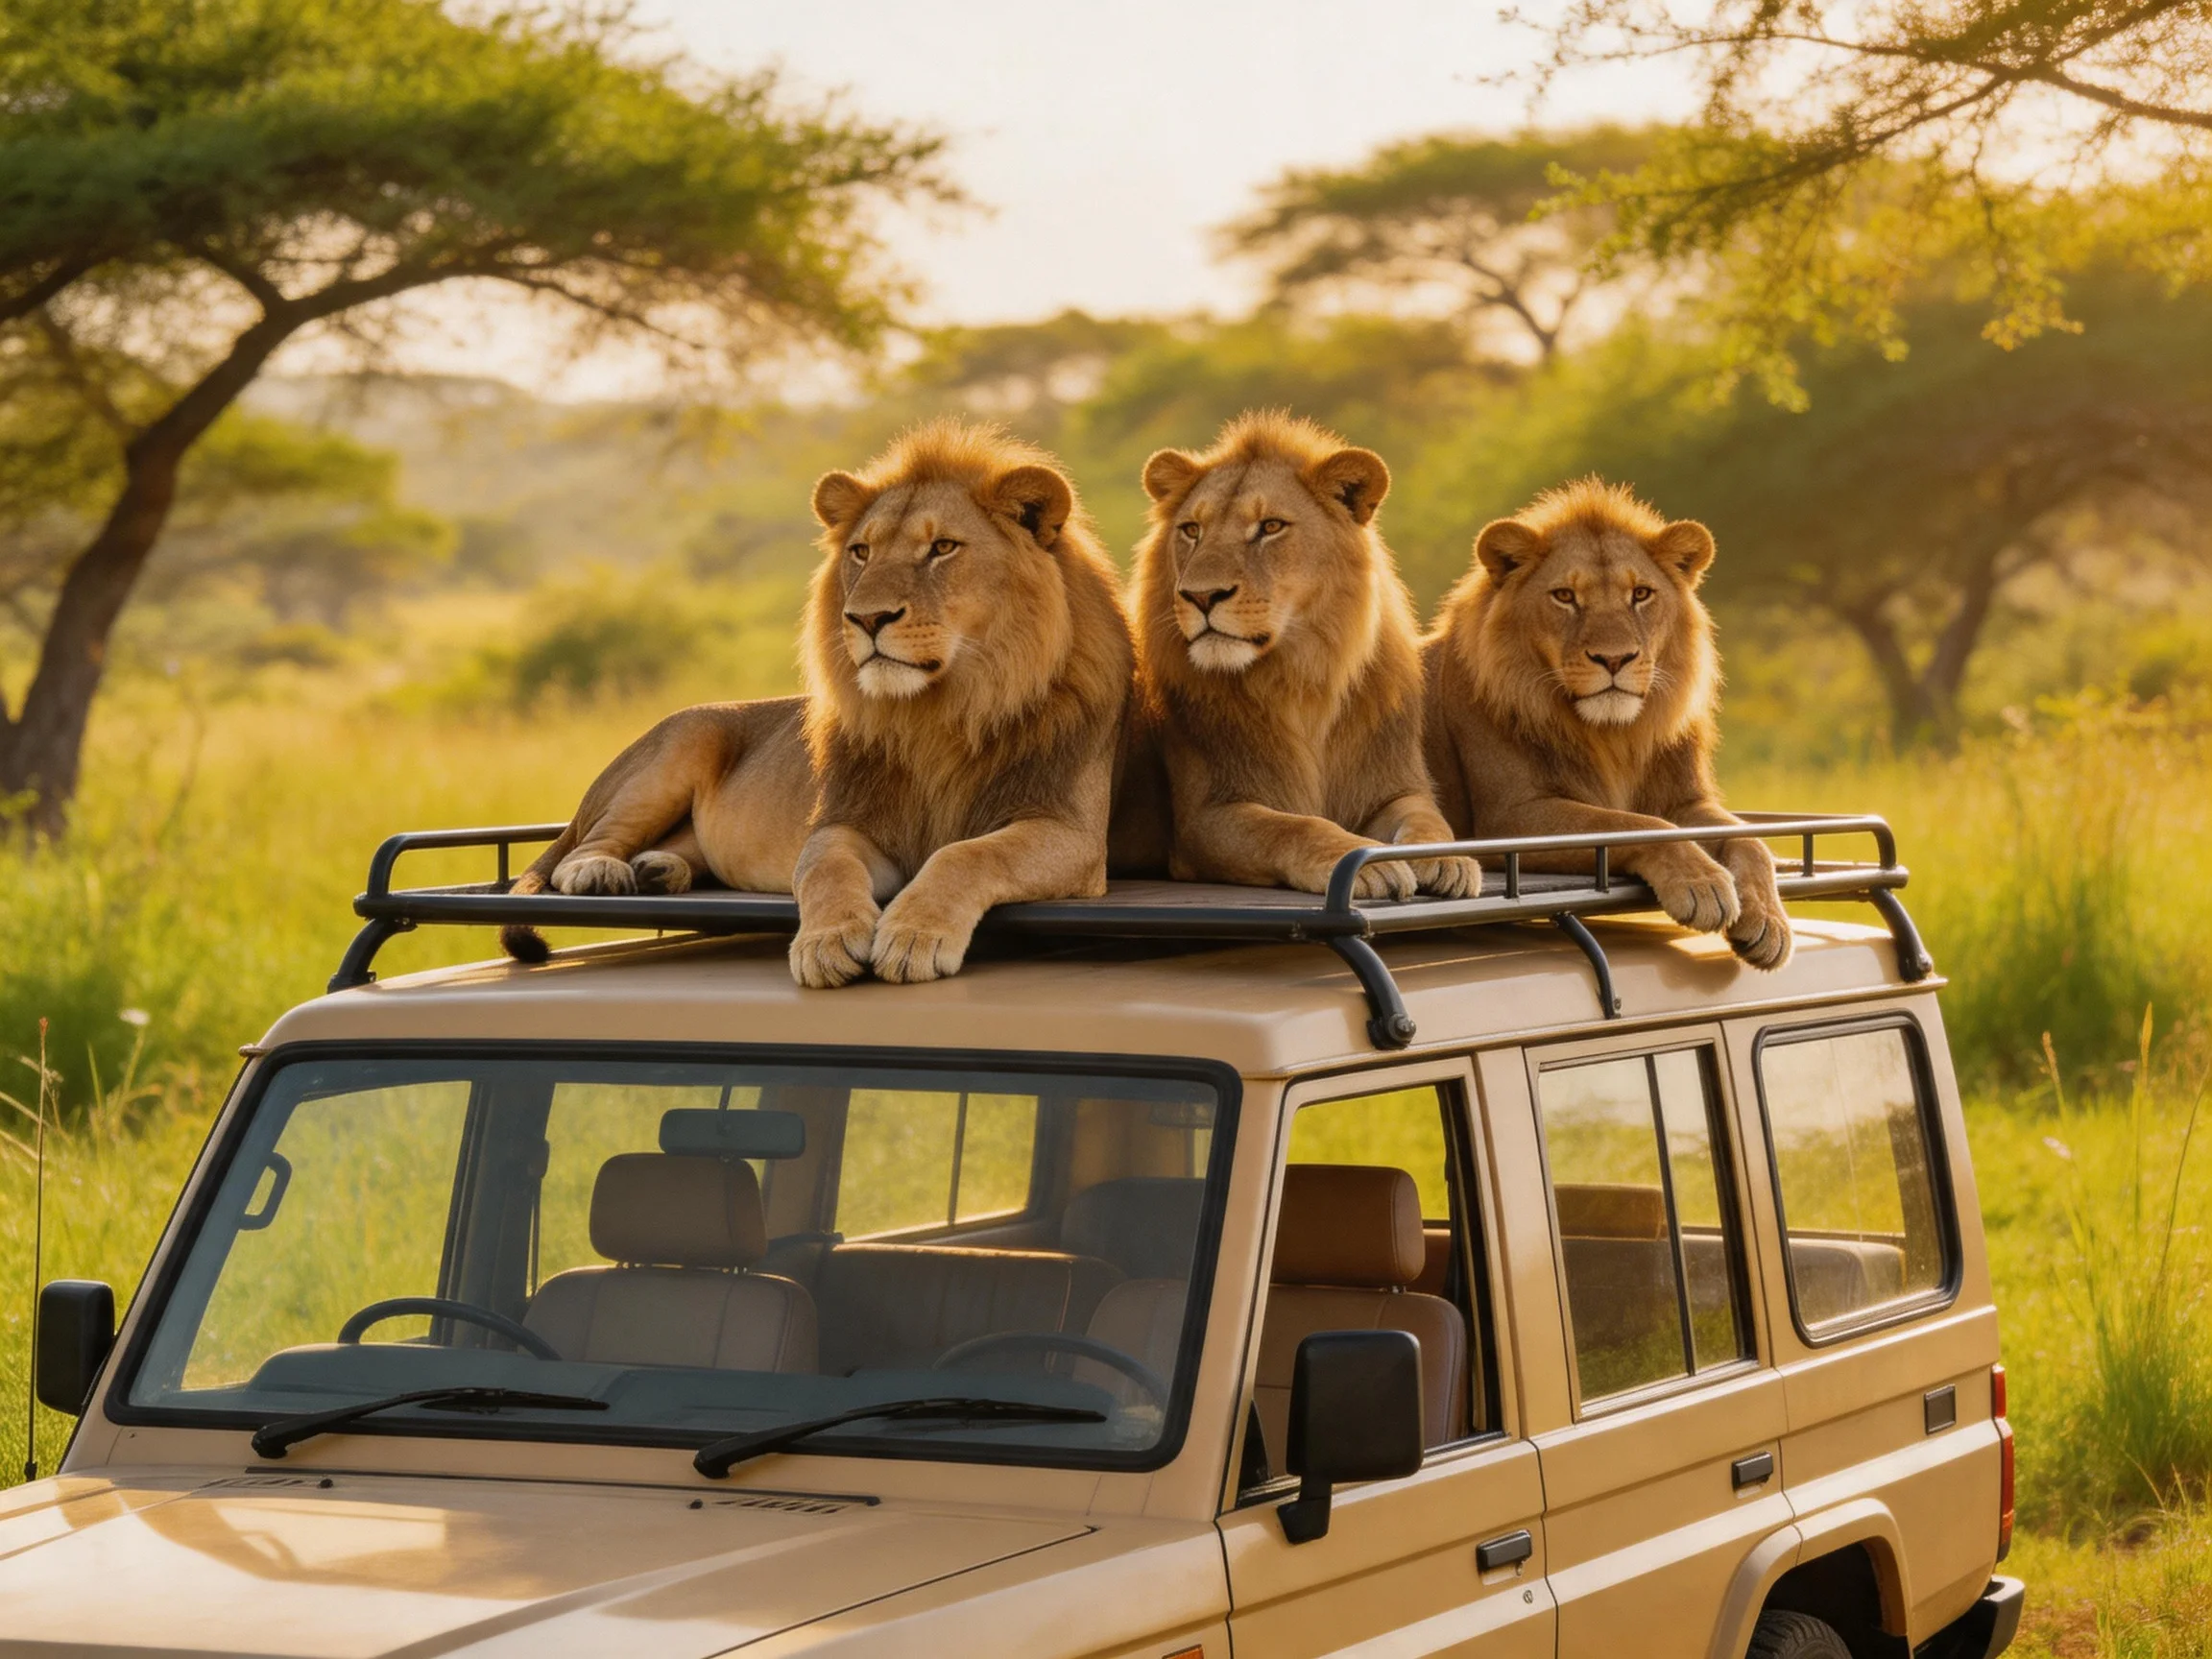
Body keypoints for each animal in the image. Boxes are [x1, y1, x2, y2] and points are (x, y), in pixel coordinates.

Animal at [503, 421, 1136, 988]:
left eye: (942, 548)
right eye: (861, 551)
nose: (866, 618)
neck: (939, 711)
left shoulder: (1069, 832)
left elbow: (966, 855)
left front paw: (913, 935)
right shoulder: (847, 822)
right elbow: (825, 870)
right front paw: (826, 944)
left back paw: (660, 869)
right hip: (677, 748)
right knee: (582, 846)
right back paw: (600, 870)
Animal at [1131, 412, 1477, 901]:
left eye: (1271, 527)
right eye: (1192, 530)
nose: (1199, 596)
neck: (1303, 675)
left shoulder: (1395, 787)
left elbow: (1429, 821)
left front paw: (1449, 860)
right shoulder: (1204, 818)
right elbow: (1295, 827)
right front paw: (1369, 866)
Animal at [1420, 477, 1791, 968]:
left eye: (1641, 594)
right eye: (1565, 596)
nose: (1614, 659)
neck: (1614, 735)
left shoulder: (1686, 800)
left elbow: (1750, 839)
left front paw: (1769, 920)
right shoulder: (1509, 819)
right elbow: (1635, 823)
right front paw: (1704, 883)